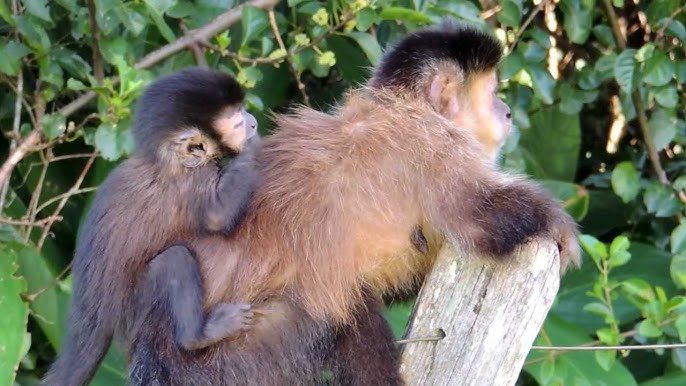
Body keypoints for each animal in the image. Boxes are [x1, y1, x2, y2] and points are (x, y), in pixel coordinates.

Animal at [41, 68, 260, 386]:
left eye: (243, 110)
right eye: (237, 121)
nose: (253, 122)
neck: (169, 160)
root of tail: (97, 308)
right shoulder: (194, 177)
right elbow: (217, 218)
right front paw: (253, 147)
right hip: (135, 310)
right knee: (175, 260)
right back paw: (198, 336)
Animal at [119, 20, 580, 386]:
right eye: (494, 95)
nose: (506, 112)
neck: (402, 105)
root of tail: (151, 347)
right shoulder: (432, 141)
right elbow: (478, 221)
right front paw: (559, 230)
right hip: (228, 352)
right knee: (333, 308)